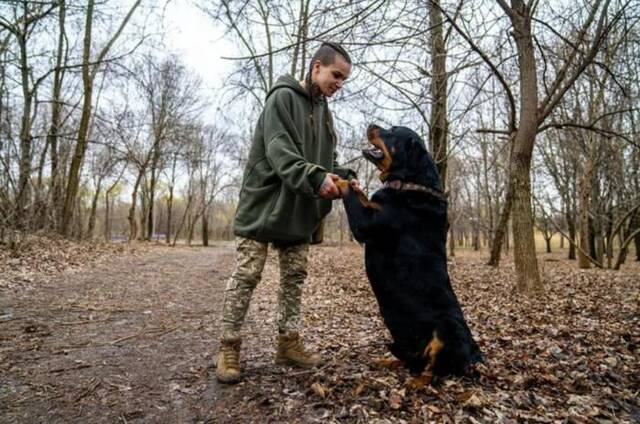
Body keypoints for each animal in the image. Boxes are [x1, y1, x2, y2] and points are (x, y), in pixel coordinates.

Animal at [338, 124, 482, 386]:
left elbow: (351, 195)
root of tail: (474, 356)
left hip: (448, 329)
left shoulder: (366, 224)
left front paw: (342, 180)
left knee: (434, 370)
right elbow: (361, 195)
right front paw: (353, 181)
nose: (371, 125)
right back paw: (388, 362)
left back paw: (418, 383)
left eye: (393, 131)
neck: (410, 184)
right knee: (414, 362)